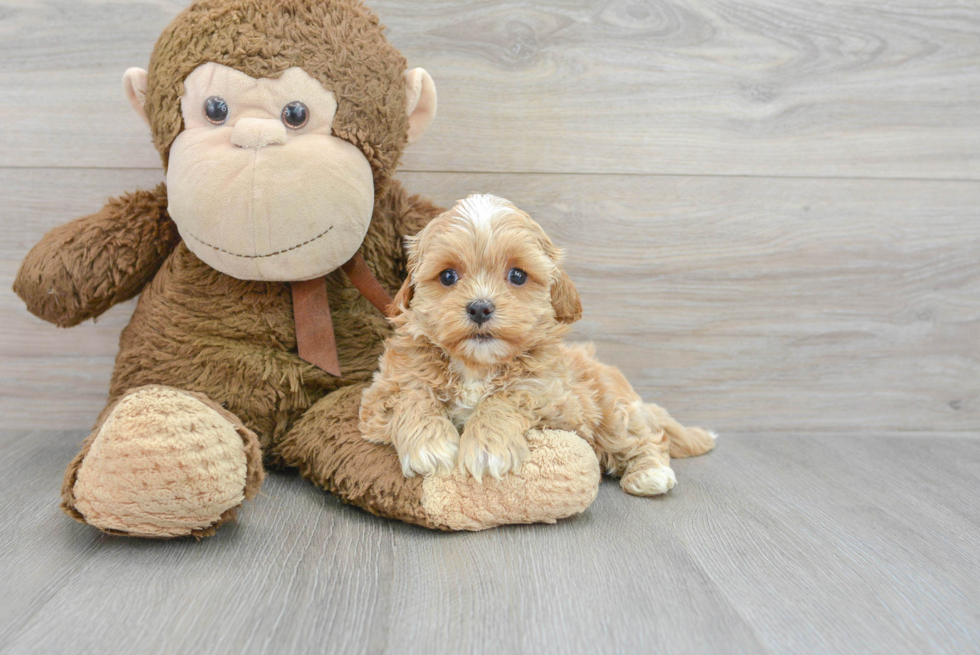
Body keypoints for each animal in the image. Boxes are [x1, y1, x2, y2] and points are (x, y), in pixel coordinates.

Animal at [358, 195, 712, 498]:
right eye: (447, 276)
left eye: (517, 275)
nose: (480, 307)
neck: (476, 366)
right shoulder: (380, 393)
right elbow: (412, 393)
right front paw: (429, 445)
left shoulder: (560, 402)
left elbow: (507, 396)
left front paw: (487, 447)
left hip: (614, 410)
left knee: (646, 439)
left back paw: (650, 473)